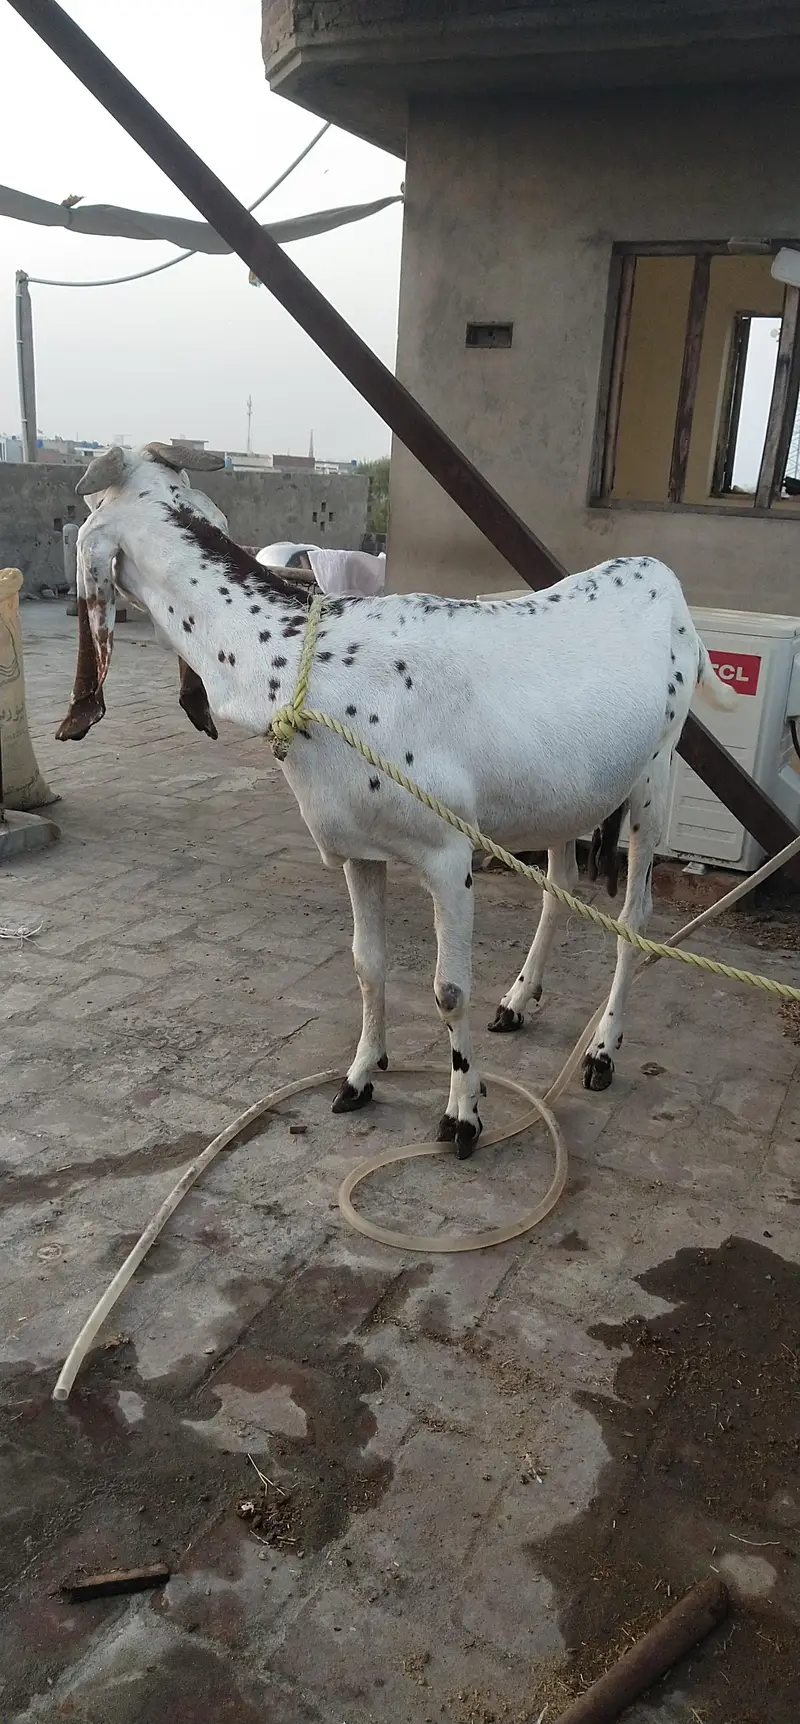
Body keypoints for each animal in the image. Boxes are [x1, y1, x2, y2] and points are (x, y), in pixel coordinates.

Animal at [59, 445, 736, 1158]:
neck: (305, 665)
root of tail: (664, 581)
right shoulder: (358, 850)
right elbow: (367, 964)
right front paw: (361, 1076)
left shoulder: (448, 854)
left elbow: (450, 990)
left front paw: (463, 1113)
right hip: (564, 796)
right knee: (561, 887)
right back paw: (518, 1001)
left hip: (657, 776)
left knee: (634, 917)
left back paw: (602, 1052)